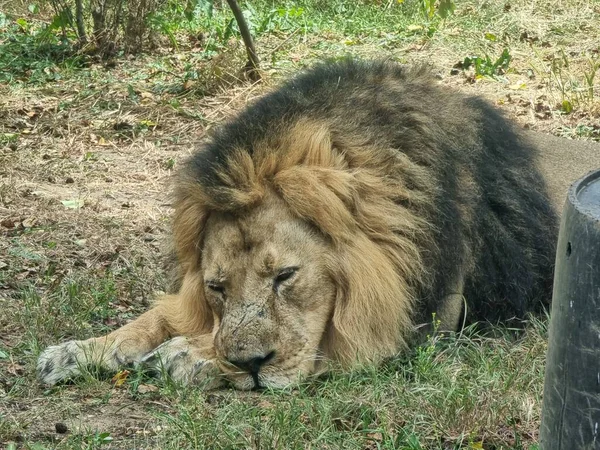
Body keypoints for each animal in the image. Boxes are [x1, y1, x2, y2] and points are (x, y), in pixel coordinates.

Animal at [37, 59, 560, 390]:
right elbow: (158, 317)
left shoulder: (425, 320)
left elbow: (321, 342)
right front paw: (80, 351)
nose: (250, 366)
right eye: (216, 287)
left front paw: (187, 355)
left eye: (285, 276)